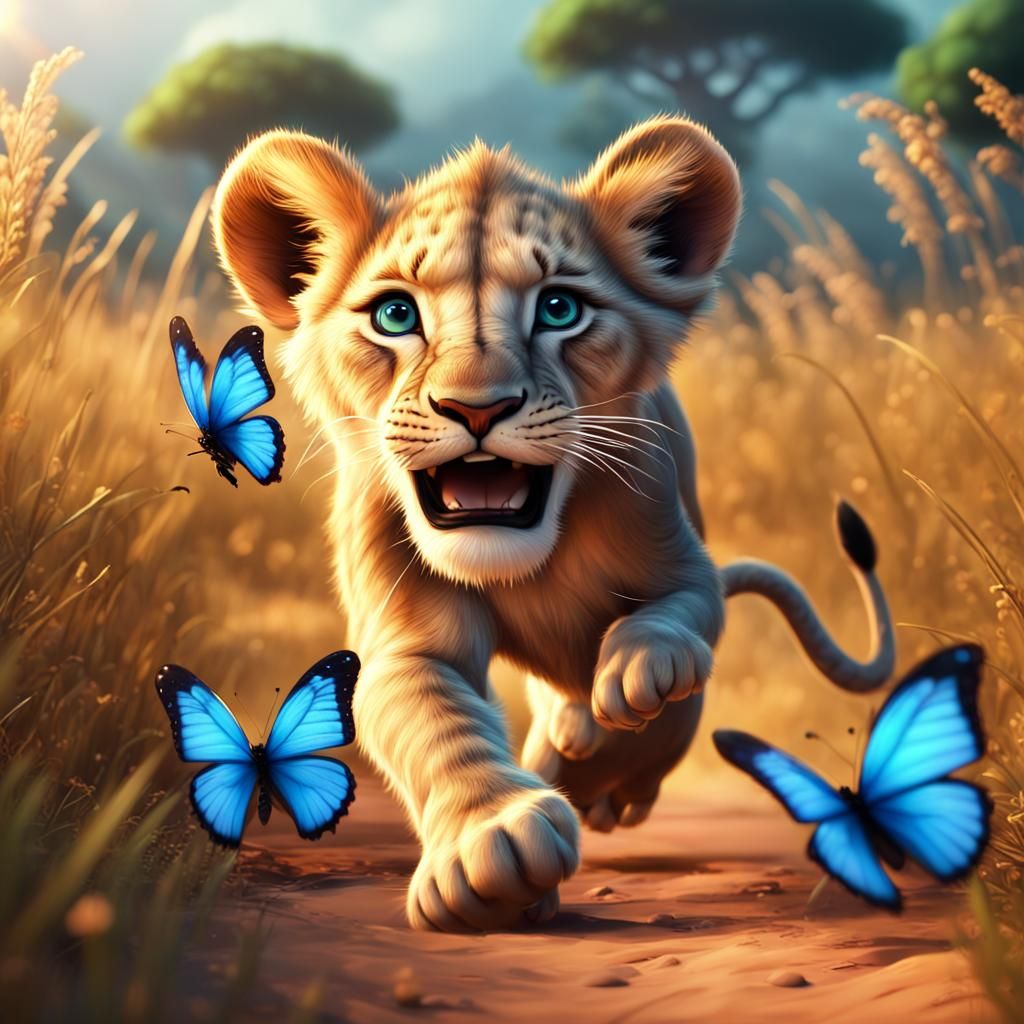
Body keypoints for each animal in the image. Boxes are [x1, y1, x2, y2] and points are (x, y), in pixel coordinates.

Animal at [211, 116, 894, 932]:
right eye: (395, 314)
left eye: (560, 309)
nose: (476, 408)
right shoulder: (405, 636)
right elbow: (430, 715)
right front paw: (494, 842)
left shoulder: (675, 550)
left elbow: (678, 614)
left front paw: (639, 674)